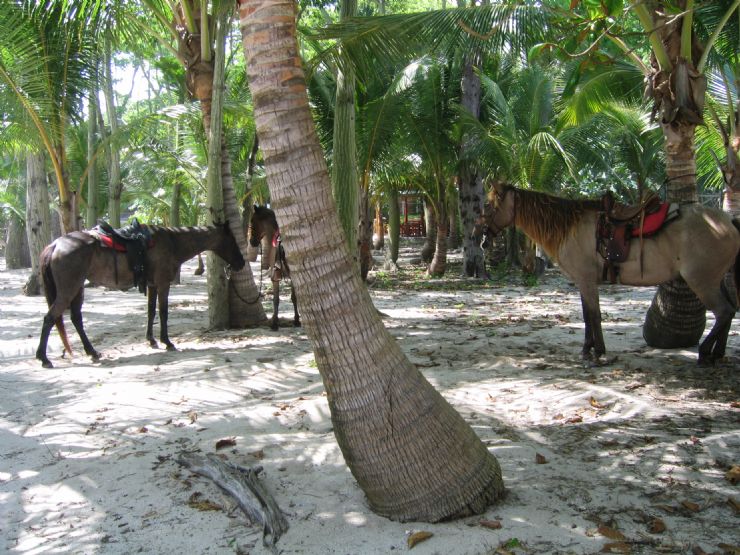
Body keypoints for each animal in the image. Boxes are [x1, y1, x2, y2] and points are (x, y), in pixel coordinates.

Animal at [36, 222, 244, 370]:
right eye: (232, 240)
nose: (241, 263)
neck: (172, 242)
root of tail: (55, 244)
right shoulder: (162, 284)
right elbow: (163, 312)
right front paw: (167, 342)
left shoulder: (152, 285)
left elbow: (151, 312)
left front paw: (151, 340)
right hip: (68, 290)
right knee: (50, 318)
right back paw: (44, 358)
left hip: (77, 288)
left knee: (76, 318)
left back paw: (92, 352)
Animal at [474, 182, 740, 364]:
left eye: (487, 205)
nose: (481, 238)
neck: (569, 227)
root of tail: (727, 221)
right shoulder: (584, 282)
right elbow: (587, 315)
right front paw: (588, 349)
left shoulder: (586, 281)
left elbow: (594, 315)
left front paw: (597, 351)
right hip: (717, 280)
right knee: (729, 311)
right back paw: (717, 354)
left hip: (702, 281)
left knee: (724, 311)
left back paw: (705, 353)